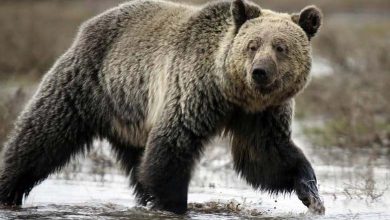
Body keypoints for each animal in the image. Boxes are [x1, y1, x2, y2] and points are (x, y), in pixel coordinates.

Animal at [0, 0, 322, 215]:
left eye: (281, 47)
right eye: (252, 45)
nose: (259, 72)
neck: (232, 93)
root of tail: (89, 24)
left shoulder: (261, 115)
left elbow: (266, 156)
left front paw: (311, 193)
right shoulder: (194, 90)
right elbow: (173, 146)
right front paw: (174, 205)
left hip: (131, 115)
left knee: (138, 163)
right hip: (88, 83)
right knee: (42, 135)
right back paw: (8, 188)